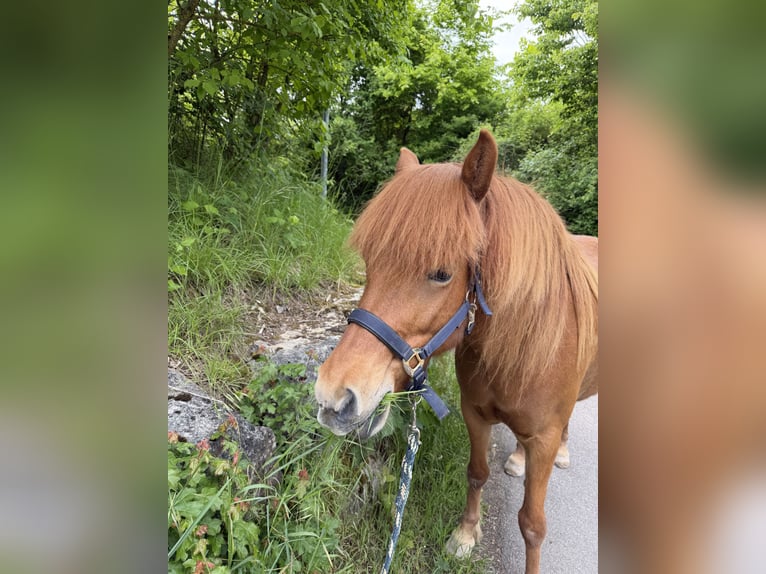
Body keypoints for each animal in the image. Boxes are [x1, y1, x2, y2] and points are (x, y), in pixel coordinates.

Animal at [314, 129, 598, 573]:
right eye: (370, 263)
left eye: (442, 274)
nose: (334, 397)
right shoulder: (476, 414)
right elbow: (477, 473)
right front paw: (465, 535)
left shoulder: (545, 437)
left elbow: (532, 524)